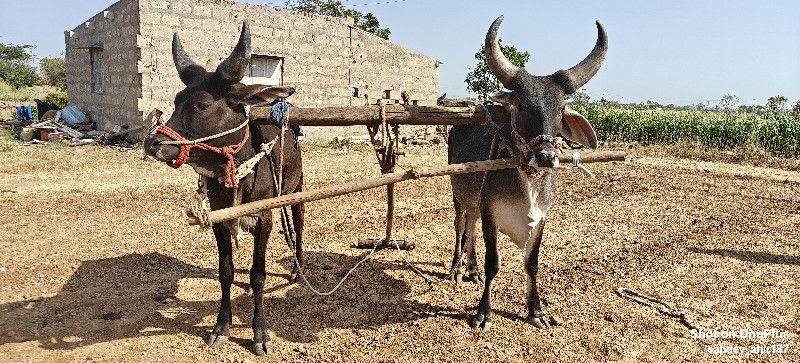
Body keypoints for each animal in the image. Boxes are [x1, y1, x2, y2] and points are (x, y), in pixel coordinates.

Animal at [141, 20, 304, 356]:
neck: (239, 173)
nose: (153, 144)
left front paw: (260, 333)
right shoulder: (218, 219)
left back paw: (298, 268)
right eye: (175, 101)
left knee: (298, 225)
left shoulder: (264, 218)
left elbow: (258, 276)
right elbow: (225, 272)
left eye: (202, 104)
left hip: (298, 191)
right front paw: (221, 327)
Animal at [450, 15, 608, 332]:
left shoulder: (542, 216)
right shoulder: (490, 212)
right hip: (457, 193)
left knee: (469, 226)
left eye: (560, 108)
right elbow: (494, 262)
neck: (529, 184)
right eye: (521, 105)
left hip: (473, 200)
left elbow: (531, 263)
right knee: (460, 226)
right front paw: (483, 313)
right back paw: (456, 269)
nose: (546, 156)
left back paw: (471, 269)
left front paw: (536, 311)